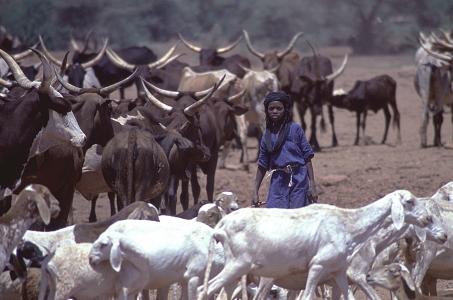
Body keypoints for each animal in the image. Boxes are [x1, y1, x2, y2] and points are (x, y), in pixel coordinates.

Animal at [200, 190, 430, 300]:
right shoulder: (320, 268)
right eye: (409, 201)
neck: (348, 223)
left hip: (238, 275)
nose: (428, 218)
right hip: (240, 268)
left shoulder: (338, 274)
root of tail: (221, 225)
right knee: (205, 289)